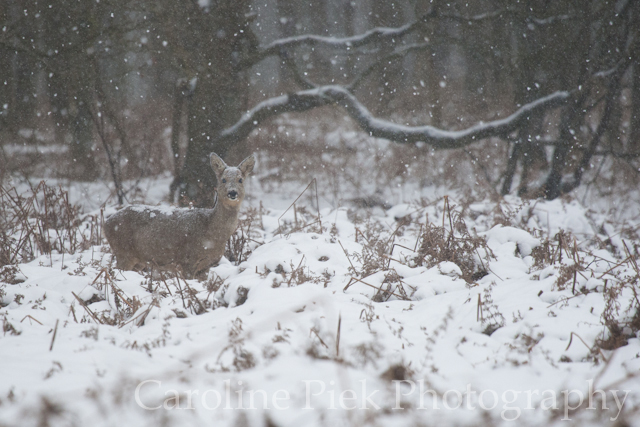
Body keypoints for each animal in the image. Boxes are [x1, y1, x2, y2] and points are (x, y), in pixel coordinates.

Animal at [105, 152, 255, 280]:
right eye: (223, 180)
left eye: (240, 180)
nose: (232, 193)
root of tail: (106, 223)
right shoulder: (187, 260)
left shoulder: (206, 267)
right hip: (123, 252)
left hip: (138, 260)